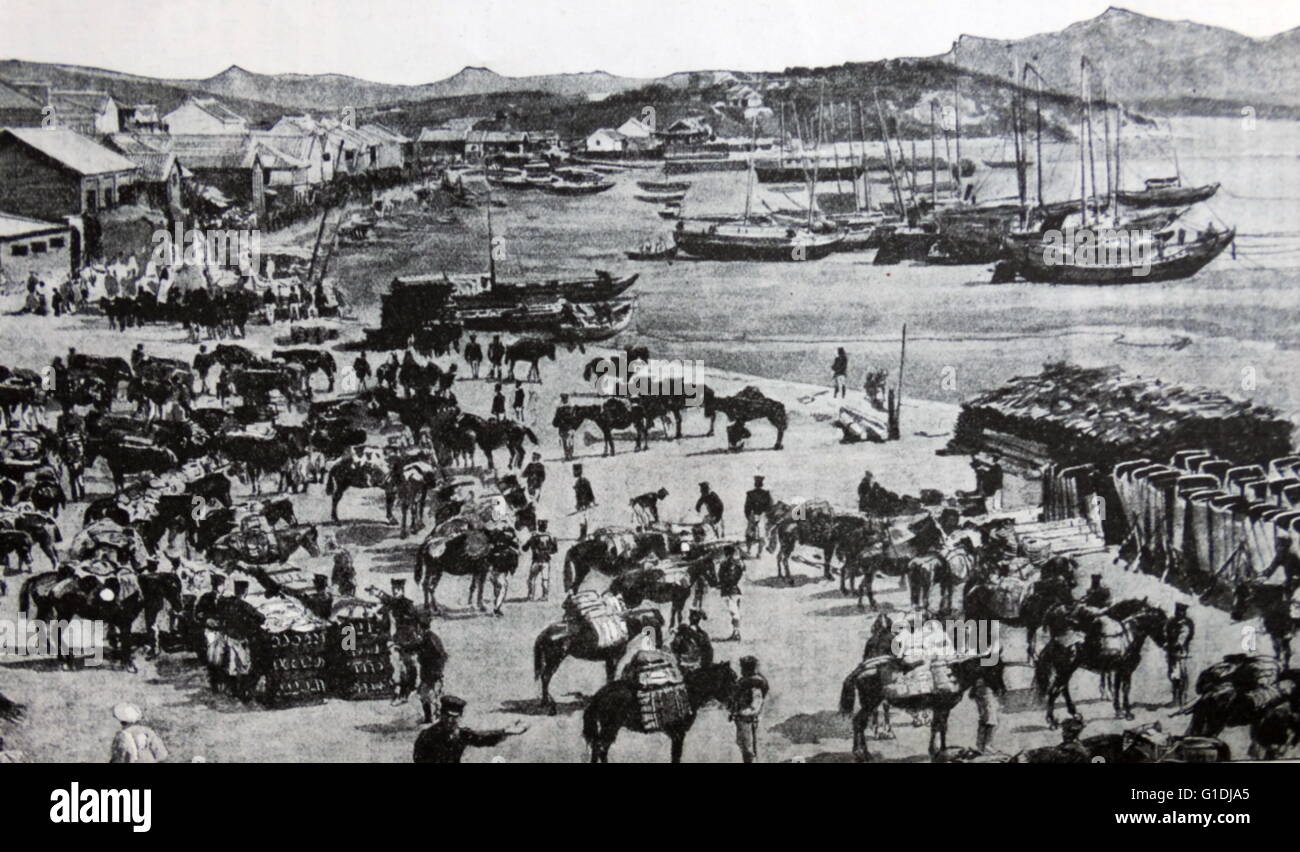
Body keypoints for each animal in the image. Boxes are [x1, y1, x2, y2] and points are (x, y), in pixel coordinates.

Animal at [585, 663, 738, 764]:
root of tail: (601, 693)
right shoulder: (679, 734)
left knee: (599, 747)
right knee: (599, 747)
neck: (687, 693)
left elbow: (674, 756)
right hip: (610, 727)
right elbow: (676, 756)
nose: (733, 703)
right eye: (730, 681)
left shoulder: (677, 735)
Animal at [1034, 600, 1170, 728]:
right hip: (1065, 670)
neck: (1128, 637)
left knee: (1063, 689)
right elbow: (1125, 690)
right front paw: (1128, 714)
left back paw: (1075, 714)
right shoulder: (1126, 671)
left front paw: (1118, 711)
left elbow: (1117, 689)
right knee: (1054, 691)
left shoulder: (1117, 671)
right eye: (1160, 622)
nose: (1164, 643)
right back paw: (1052, 722)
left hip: (1066, 671)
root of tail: (1055, 641)